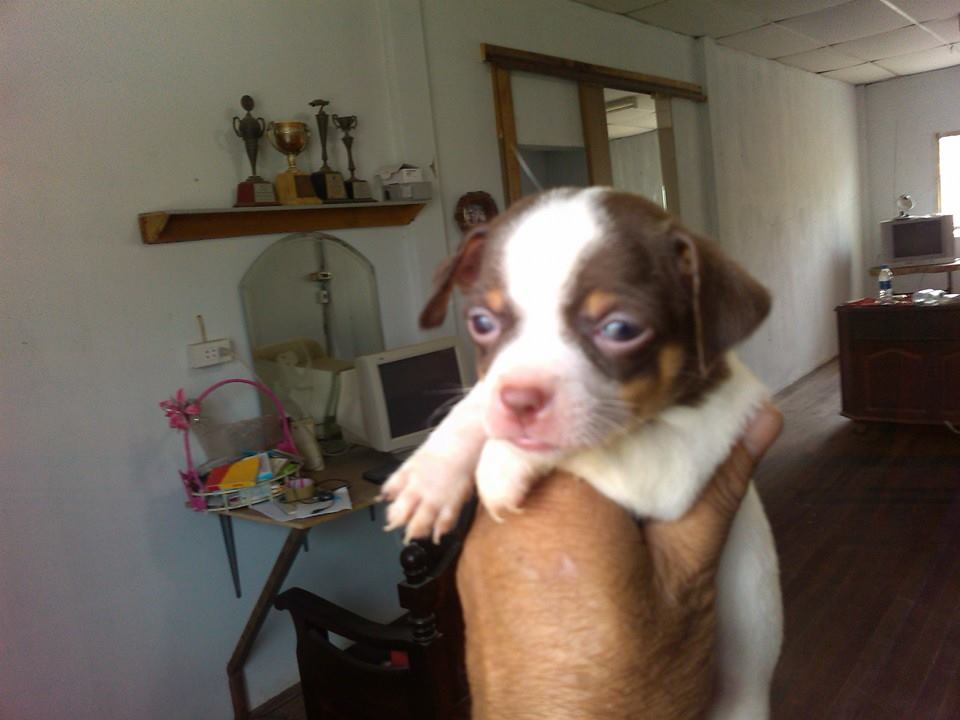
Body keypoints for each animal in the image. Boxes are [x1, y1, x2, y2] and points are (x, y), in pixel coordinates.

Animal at [380, 187, 782, 718]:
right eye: (481, 322)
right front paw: (431, 477)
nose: (520, 399)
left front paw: (502, 462)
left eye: (621, 329)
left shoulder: (678, 461)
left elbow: (588, 444)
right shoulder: (493, 390)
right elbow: (476, 404)